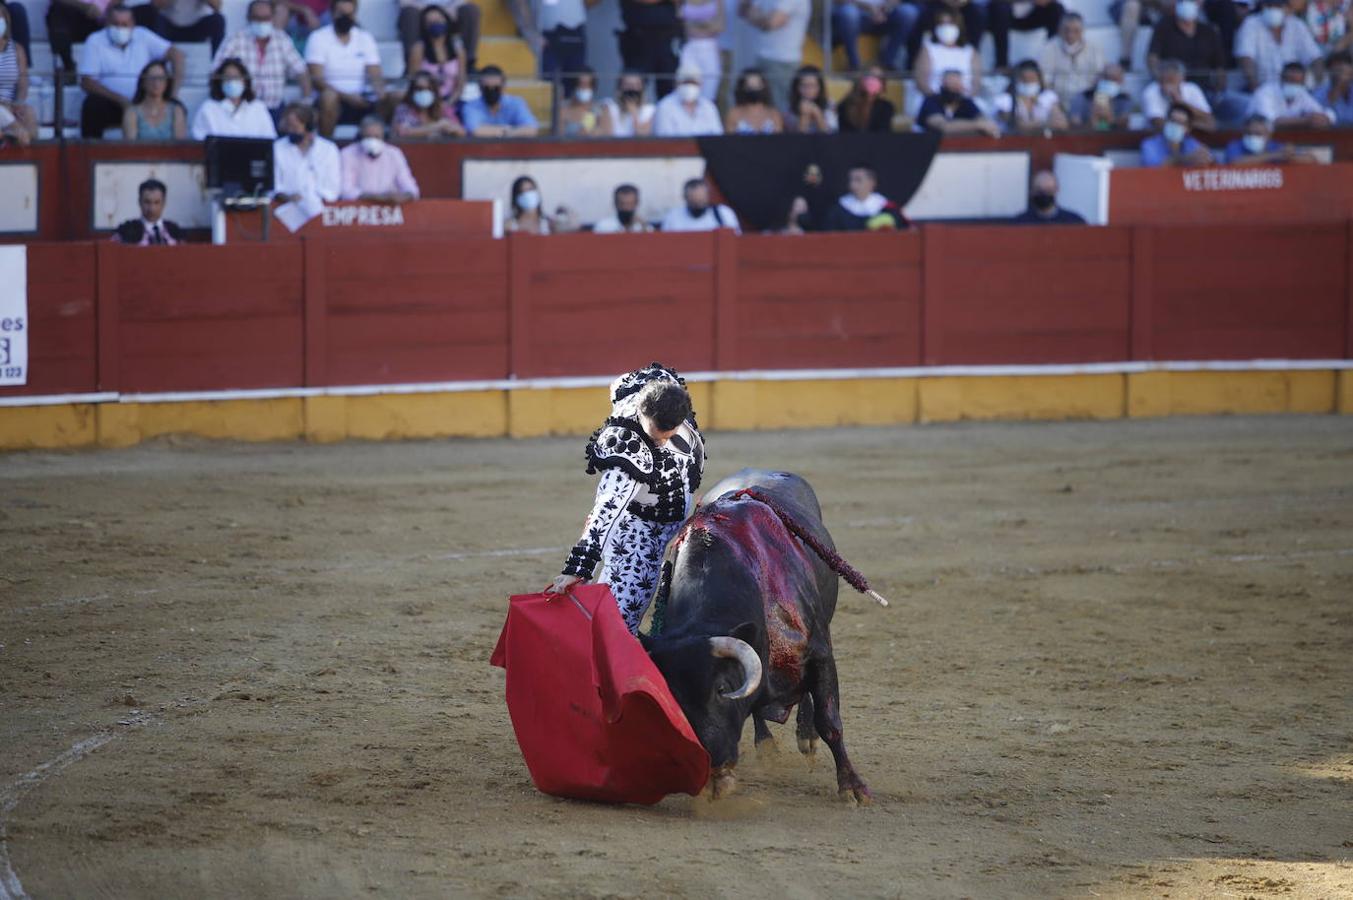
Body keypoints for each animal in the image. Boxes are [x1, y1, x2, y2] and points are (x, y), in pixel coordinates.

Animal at [638, 470, 871, 801]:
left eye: (723, 688)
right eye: (673, 697)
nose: (711, 761)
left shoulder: (821, 654)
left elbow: (830, 722)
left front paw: (853, 788)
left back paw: (806, 736)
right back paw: (767, 745)